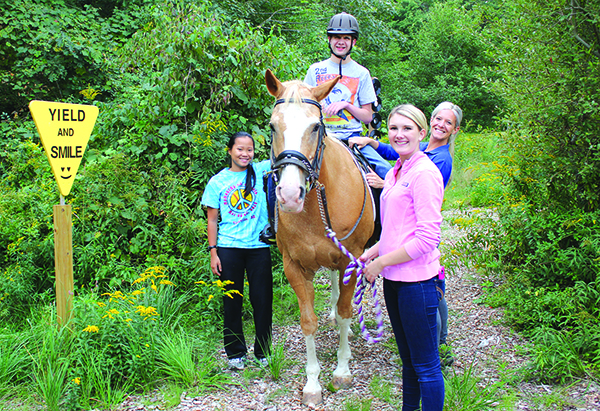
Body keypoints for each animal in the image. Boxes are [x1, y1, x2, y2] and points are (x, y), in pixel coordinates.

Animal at [264, 70, 372, 406]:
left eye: (315, 127)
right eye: (273, 126)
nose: (289, 195)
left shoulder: (351, 260)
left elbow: (346, 313)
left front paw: (342, 370)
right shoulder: (294, 266)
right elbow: (308, 321)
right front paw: (312, 384)